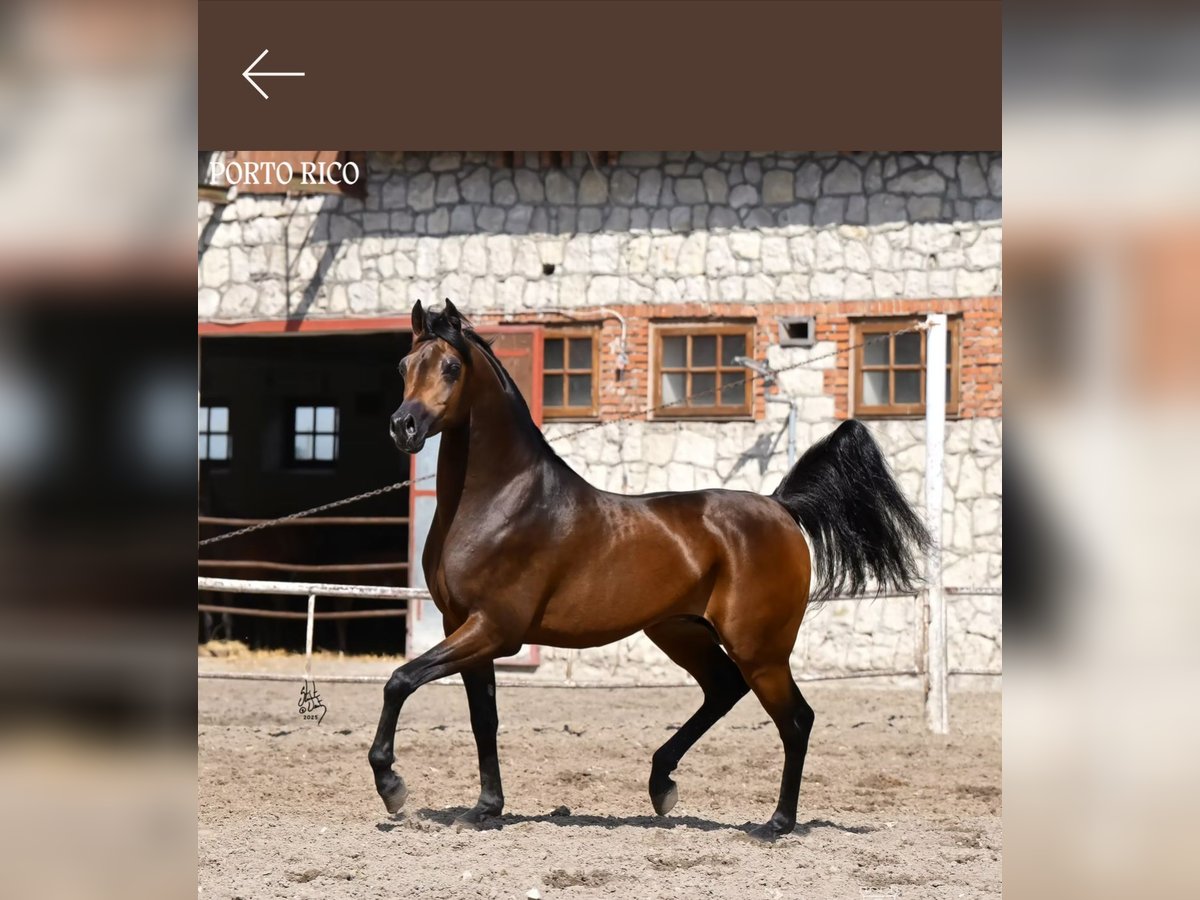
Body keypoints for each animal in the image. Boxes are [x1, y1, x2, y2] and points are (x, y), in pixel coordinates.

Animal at [369, 299, 930, 842]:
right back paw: (663, 784)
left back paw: (774, 825)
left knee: (795, 719)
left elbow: (399, 680)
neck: (501, 501)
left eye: (450, 366)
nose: (403, 426)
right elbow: (483, 719)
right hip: (681, 632)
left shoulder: (493, 629)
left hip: (760, 649)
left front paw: (393, 786)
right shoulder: (463, 626)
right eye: (403, 365)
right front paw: (485, 809)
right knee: (724, 690)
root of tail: (780, 506)